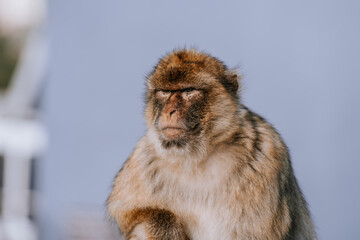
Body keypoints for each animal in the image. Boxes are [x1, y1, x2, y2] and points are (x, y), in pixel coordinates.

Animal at [107, 48, 316, 240]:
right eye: (165, 92)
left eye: (188, 91)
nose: (169, 111)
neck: (197, 156)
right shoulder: (143, 155)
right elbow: (124, 212)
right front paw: (165, 226)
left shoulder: (267, 153)